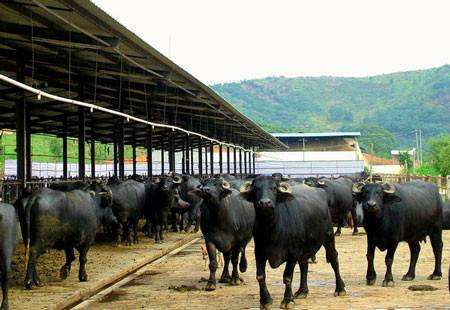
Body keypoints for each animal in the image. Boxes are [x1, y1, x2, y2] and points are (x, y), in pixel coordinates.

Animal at [243, 176, 344, 308]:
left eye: (274, 188)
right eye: (255, 188)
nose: (265, 203)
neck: (271, 230)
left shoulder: (293, 254)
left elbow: (287, 276)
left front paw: (287, 300)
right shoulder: (259, 252)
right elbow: (260, 276)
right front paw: (265, 301)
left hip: (329, 236)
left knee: (333, 259)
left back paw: (340, 289)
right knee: (304, 264)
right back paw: (302, 291)